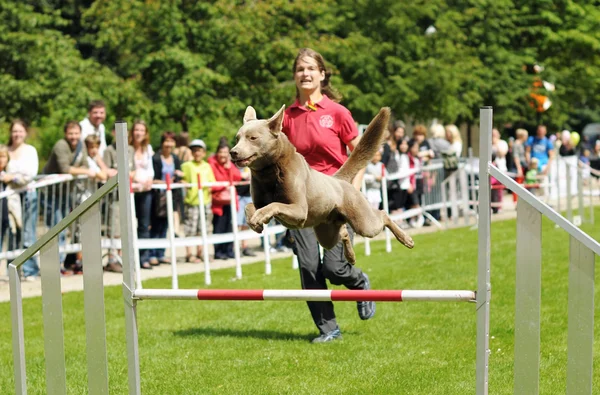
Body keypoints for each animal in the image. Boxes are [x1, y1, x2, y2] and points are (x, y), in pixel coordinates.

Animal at [230, 106, 412, 264]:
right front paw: (254, 222)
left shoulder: (299, 209)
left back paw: (406, 239)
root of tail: (339, 179)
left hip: (363, 222)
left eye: (252, 138)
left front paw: (259, 217)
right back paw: (351, 256)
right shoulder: (260, 200)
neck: (269, 172)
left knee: (383, 215)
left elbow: (275, 204)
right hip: (327, 234)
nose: (233, 152)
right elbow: (249, 206)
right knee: (343, 233)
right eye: (238, 138)